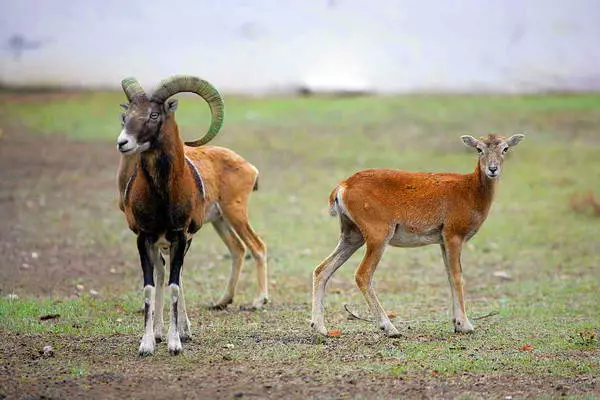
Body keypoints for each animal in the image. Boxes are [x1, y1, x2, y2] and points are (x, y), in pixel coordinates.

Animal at [117, 76, 268, 356]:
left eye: (154, 114)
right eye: (126, 115)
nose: (123, 142)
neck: (163, 196)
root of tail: (250, 168)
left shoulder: (179, 237)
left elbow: (174, 284)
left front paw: (175, 342)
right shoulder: (146, 238)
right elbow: (152, 284)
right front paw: (149, 342)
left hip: (234, 213)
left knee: (257, 247)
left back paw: (257, 301)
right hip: (220, 222)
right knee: (238, 250)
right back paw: (221, 301)